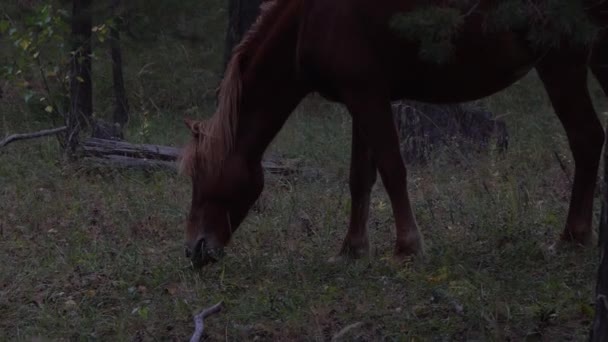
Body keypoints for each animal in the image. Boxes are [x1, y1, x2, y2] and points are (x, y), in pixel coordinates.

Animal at [178, 0, 608, 268]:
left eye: (202, 177)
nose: (195, 250)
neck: (310, 17)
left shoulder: (368, 96)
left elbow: (392, 169)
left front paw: (407, 247)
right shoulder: (361, 99)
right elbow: (360, 179)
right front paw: (351, 250)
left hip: (561, 62)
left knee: (587, 138)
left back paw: (572, 237)